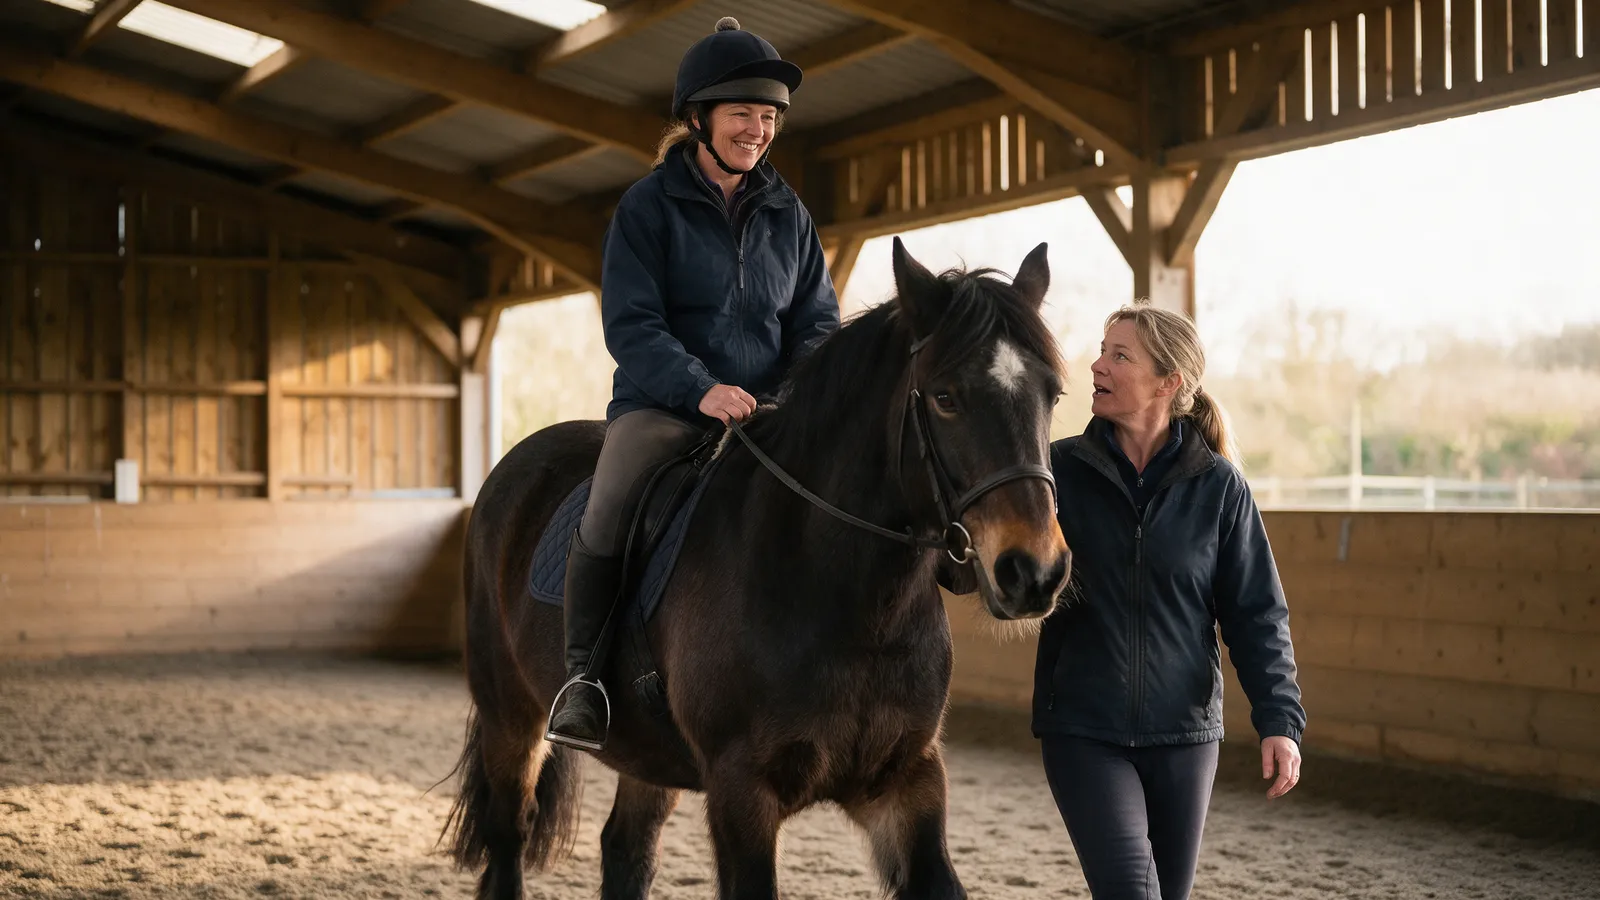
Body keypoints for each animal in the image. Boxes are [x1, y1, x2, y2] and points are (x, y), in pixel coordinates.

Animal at [443, 237, 1072, 900]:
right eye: (946, 397)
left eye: (1052, 394)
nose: (1034, 571)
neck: (850, 601)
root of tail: (513, 466)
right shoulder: (741, 791)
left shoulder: (907, 782)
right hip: (510, 714)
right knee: (509, 833)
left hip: (646, 753)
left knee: (626, 847)